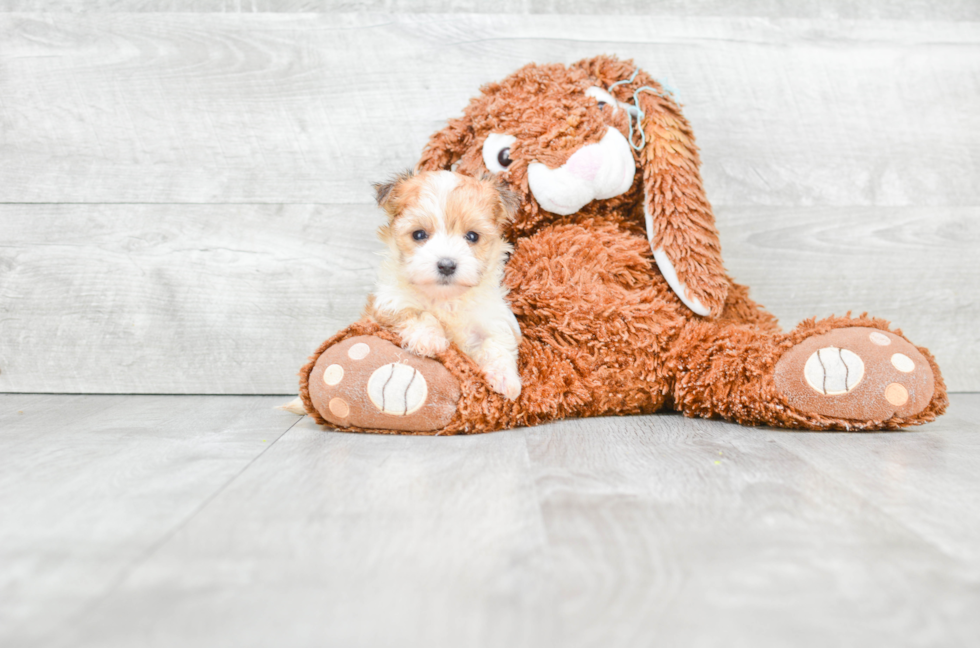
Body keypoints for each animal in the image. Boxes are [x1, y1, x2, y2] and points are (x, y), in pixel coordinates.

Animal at [366, 170, 520, 398]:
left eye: (472, 236)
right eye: (419, 234)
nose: (447, 265)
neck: (446, 298)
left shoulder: (492, 318)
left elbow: (498, 342)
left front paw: (504, 377)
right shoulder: (388, 302)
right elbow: (416, 312)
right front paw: (429, 338)